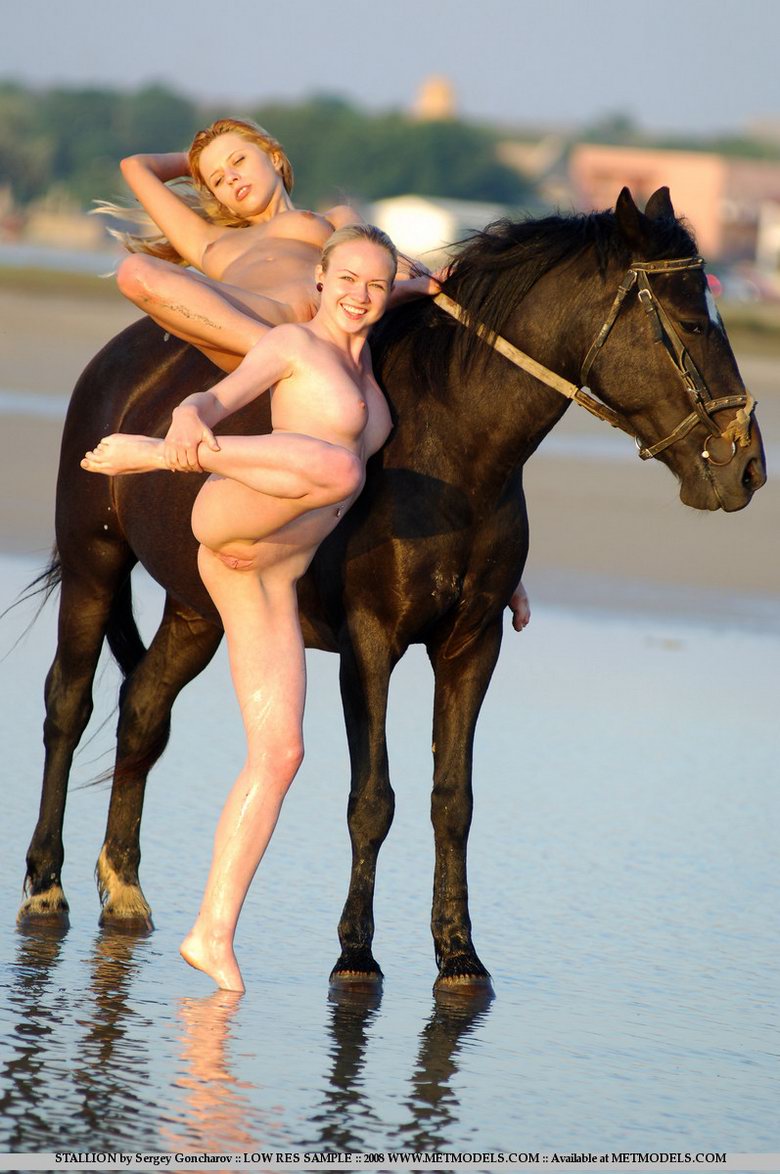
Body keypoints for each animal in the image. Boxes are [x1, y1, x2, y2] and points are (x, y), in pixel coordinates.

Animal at [18, 187, 765, 993]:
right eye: (692, 323)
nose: (747, 466)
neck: (455, 450)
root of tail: (120, 360)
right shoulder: (369, 643)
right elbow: (373, 800)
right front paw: (356, 951)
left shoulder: (472, 645)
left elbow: (453, 800)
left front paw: (459, 953)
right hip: (94, 565)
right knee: (69, 704)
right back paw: (45, 885)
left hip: (200, 610)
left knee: (143, 709)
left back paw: (124, 889)